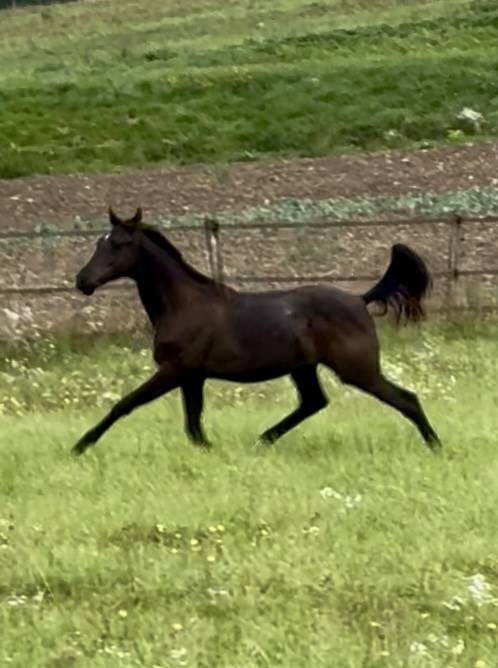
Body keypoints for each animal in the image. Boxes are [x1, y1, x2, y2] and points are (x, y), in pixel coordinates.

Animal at [73, 207, 440, 455]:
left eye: (120, 243)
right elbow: (193, 423)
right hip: (304, 368)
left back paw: (436, 445)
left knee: (406, 399)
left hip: (356, 369)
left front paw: (80, 445)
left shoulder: (175, 370)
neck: (183, 304)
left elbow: (125, 404)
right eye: (99, 242)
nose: (82, 280)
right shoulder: (193, 376)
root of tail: (359, 299)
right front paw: (209, 450)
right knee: (314, 402)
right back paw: (262, 440)